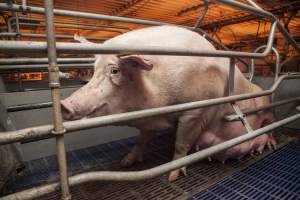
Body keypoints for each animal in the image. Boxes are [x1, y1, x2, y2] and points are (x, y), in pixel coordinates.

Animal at [61, 25, 276, 181]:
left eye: (114, 70)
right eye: (94, 70)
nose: (64, 105)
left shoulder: (195, 111)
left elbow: (181, 144)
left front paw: (171, 177)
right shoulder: (149, 119)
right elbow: (142, 139)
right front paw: (126, 162)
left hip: (266, 107)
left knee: (270, 123)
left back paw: (272, 145)